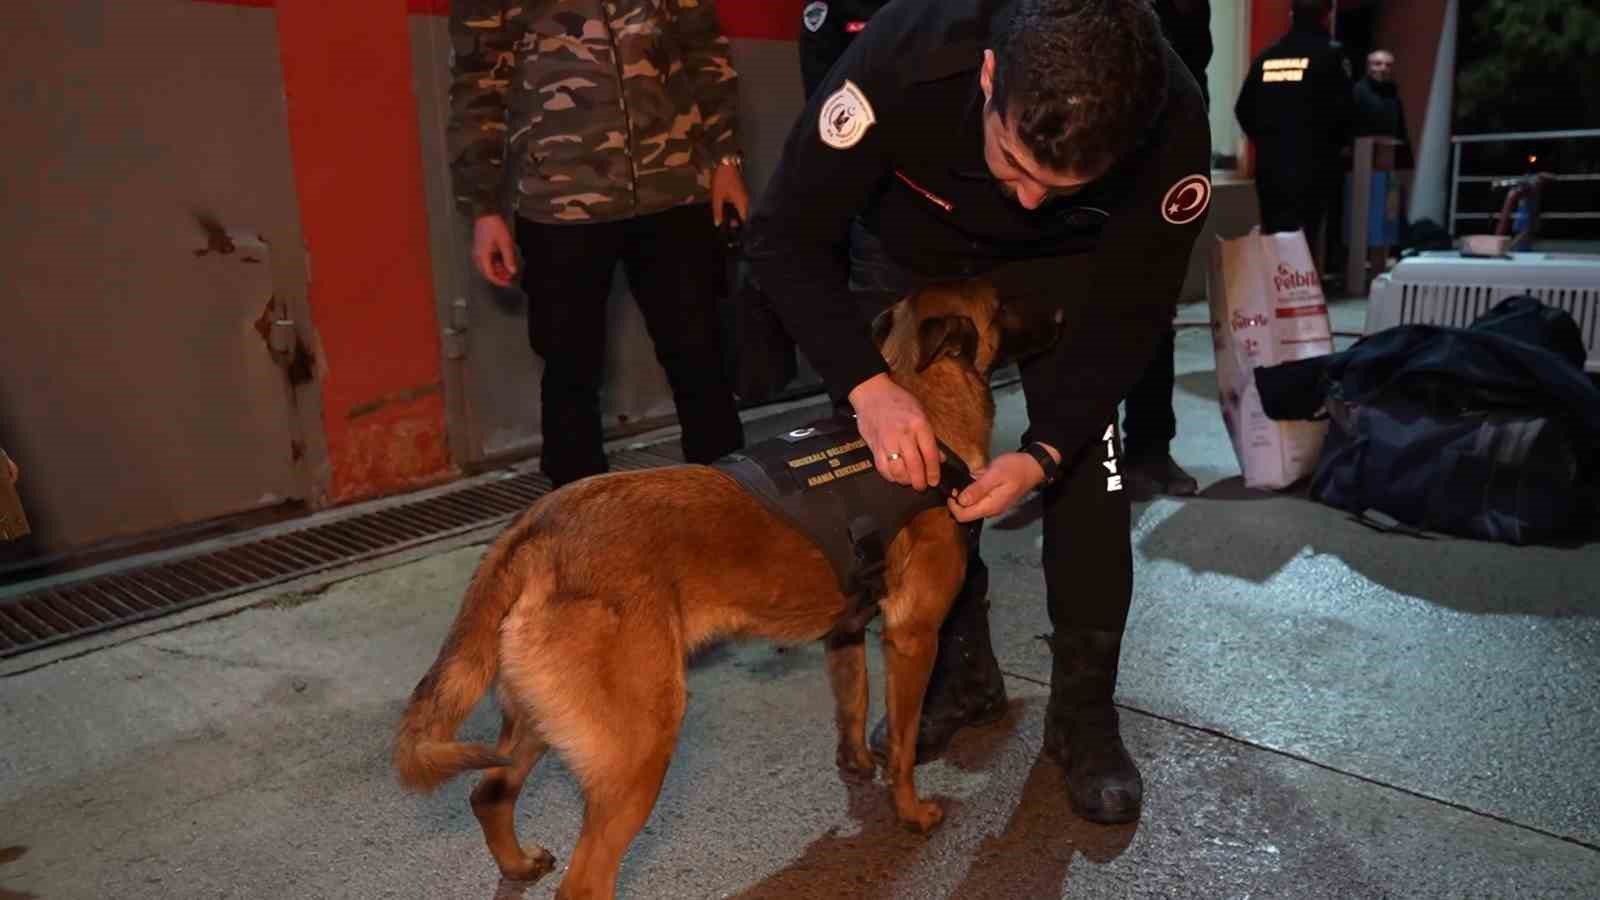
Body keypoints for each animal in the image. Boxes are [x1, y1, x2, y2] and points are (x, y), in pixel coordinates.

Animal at [395, 277, 1056, 890]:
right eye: (1002, 300)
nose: (1061, 311)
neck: (926, 409)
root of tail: (536, 531)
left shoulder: (845, 634)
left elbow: (854, 704)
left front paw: (856, 765)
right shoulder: (914, 637)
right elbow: (905, 742)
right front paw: (911, 812)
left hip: (537, 719)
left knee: (488, 794)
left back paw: (517, 862)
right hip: (638, 748)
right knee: (584, 880)